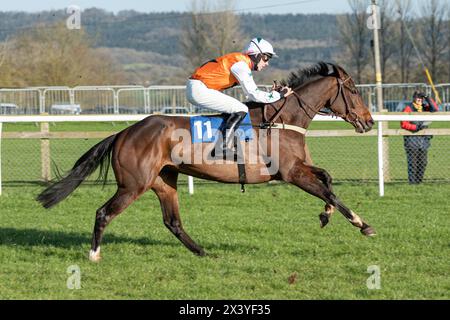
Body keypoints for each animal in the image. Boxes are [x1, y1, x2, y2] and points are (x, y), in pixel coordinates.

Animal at [37, 61, 376, 262]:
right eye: (354, 90)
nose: (369, 121)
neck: (283, 119)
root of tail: (124, 131)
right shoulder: (291, 173)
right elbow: (328, 190)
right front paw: (363, 224)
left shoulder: (300, 168)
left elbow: (328, 179)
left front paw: (326, 215)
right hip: (134, 184)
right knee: (104, 212)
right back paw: (94, 254)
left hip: (163, 181)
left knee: (172, 221)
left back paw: (202, 251)